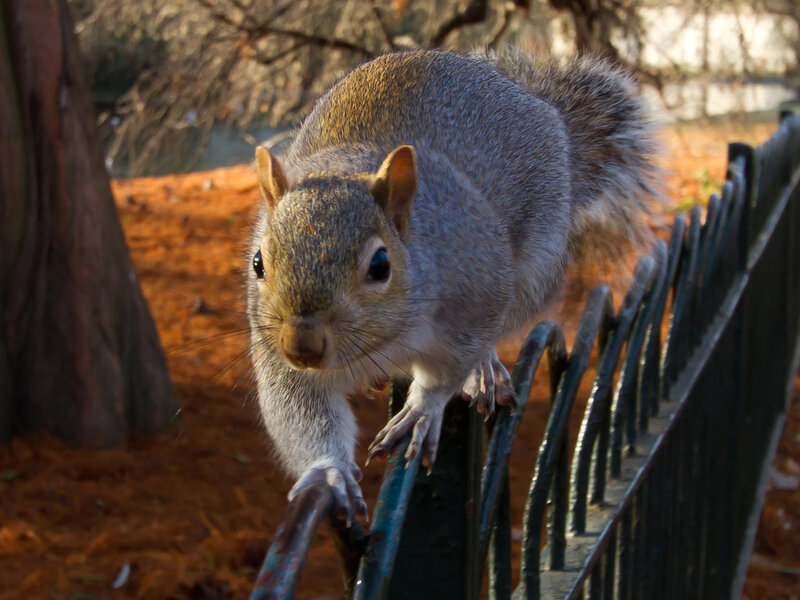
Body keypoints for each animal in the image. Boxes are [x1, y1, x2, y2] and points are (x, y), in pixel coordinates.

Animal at [247, 49, 657, 518]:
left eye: (380, 265)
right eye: (258, 262)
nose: (302, 347)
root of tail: (536, 103)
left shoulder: (473, 298)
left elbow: (447, 371)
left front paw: (424, 410)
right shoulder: (276, 353)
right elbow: (300, 410)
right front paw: (329, 471)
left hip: (532, 267)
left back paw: (484, 371)